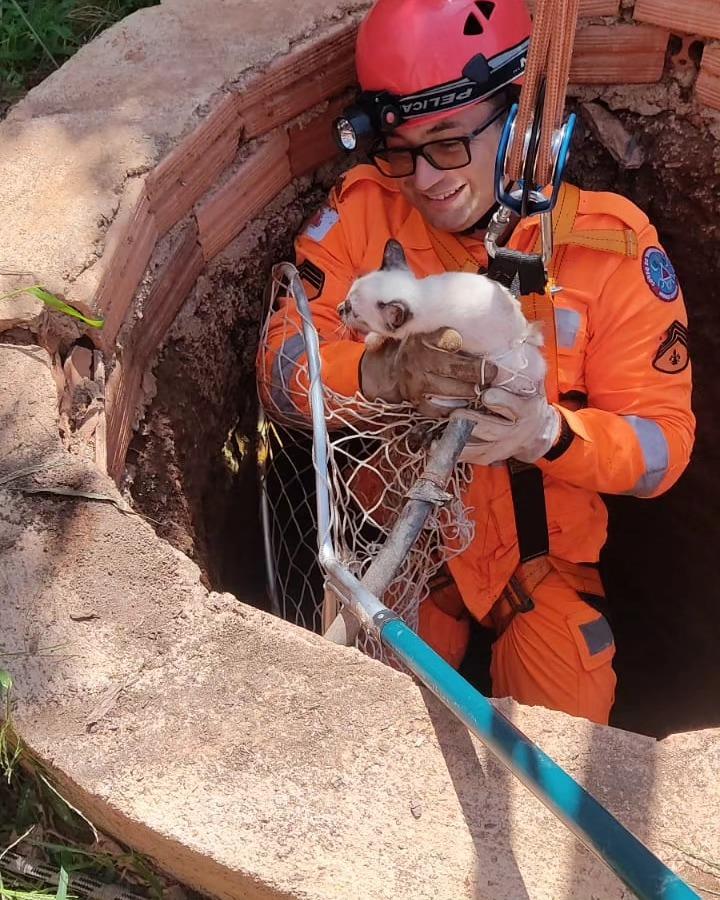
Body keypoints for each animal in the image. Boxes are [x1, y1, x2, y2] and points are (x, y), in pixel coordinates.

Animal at [338, 239, 544, 398]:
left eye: (353, 312)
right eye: (347, 298)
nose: (340, 309)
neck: (422, 295)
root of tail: (522, 334)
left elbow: (386, 334)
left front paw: (371, 340)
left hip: (503, 366)